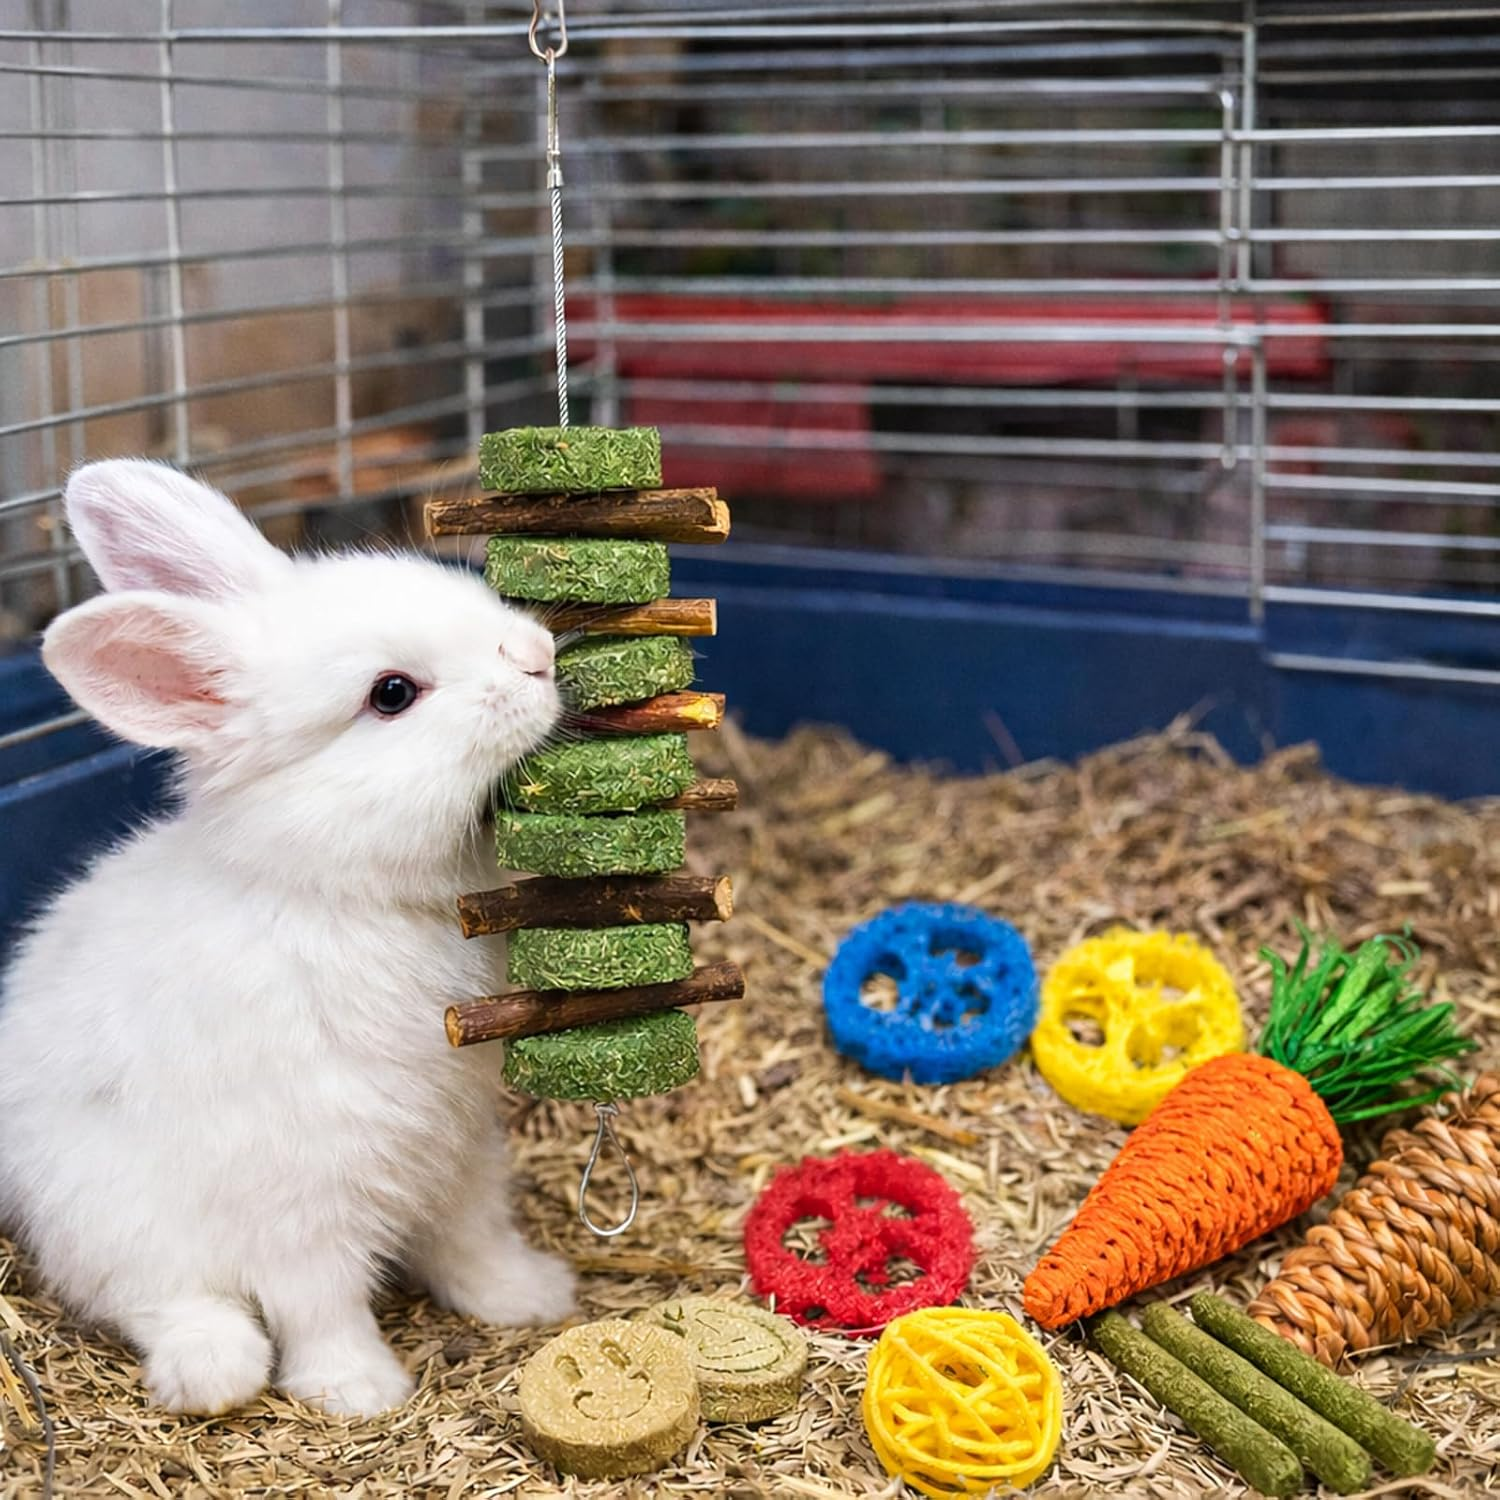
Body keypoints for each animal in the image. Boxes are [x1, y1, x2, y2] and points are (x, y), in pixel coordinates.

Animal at [0, 459, 577, 1418]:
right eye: (392, 694)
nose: (537, 654)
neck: (335, 894)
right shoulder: (300, 1197)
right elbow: (322, 1303)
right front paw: (360, 1390)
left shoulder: (459, 1152)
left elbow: (472, 1238)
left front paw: (530, 1296)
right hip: (106, 1215)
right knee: (152, 1300)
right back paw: (212, 1369)